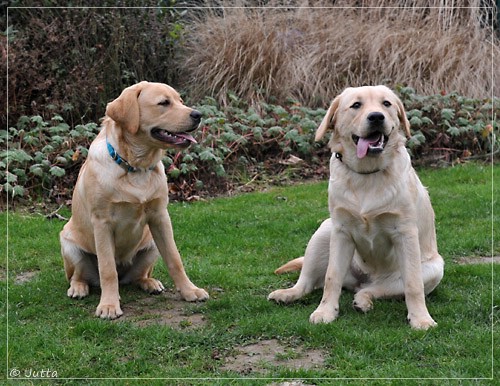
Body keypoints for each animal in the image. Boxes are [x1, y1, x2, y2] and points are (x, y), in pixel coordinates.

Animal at [60, 80, 209, 318]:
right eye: (164, 103)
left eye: (180, 101)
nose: (198, 114)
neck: (135, 166)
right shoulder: (102, 223)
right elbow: (107, 269)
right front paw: (109, 305)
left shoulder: (160, 217)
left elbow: (175, 259)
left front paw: (190, 291)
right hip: (69, 245)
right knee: (79, 275)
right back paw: (78, 288)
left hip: (151, 245)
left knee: (139, 276)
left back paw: (150, 283)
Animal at [272, 86, 444, 330]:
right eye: (356, 105)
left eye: (386, 104)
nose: (377, 117)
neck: (367, 174)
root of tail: (360, 280)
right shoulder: (341, 231)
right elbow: (331, 278)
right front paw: (326, 311)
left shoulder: (405, 233)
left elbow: (413, 284)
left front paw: (421, 318)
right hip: (324, 231)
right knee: (307, 283)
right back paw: (288, 294)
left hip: (433, 269)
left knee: (372, 289)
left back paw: (362, 301)